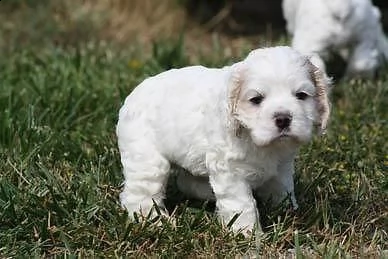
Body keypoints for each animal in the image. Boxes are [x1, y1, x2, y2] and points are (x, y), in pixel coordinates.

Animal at [116, 46, 330, 234]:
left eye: (301, 95)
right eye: (256, 99)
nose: (283, 118)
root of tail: (131, 97)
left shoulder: (281, 166)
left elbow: (282, 189)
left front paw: (289, 213)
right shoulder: (230, 170)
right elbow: (242, 204)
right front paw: (248, 234)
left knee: (187, 181)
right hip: (147, 159)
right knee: (139, 194)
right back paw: (155, 222)